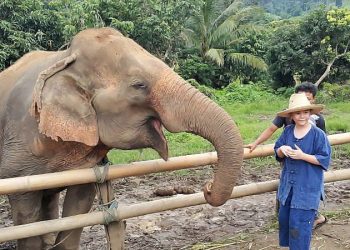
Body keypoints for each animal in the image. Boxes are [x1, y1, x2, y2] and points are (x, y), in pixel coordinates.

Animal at [0, 27, 243, 250]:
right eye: (139, 85)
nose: (207, 187)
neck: (64, 59)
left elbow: (78, 207)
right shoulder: (20, 146)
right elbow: (26, 217)